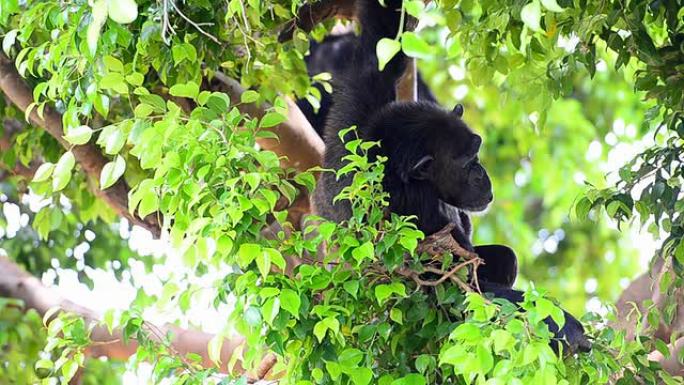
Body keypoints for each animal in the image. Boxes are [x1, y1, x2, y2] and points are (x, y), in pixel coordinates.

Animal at [302, 0, 592, 352]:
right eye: (467, 163)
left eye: (477, 153)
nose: (482, 174)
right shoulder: (410, 215)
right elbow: (455, 285)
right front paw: (567, 327)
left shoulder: (362, 109)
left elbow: (379, 45)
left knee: (504, 258)